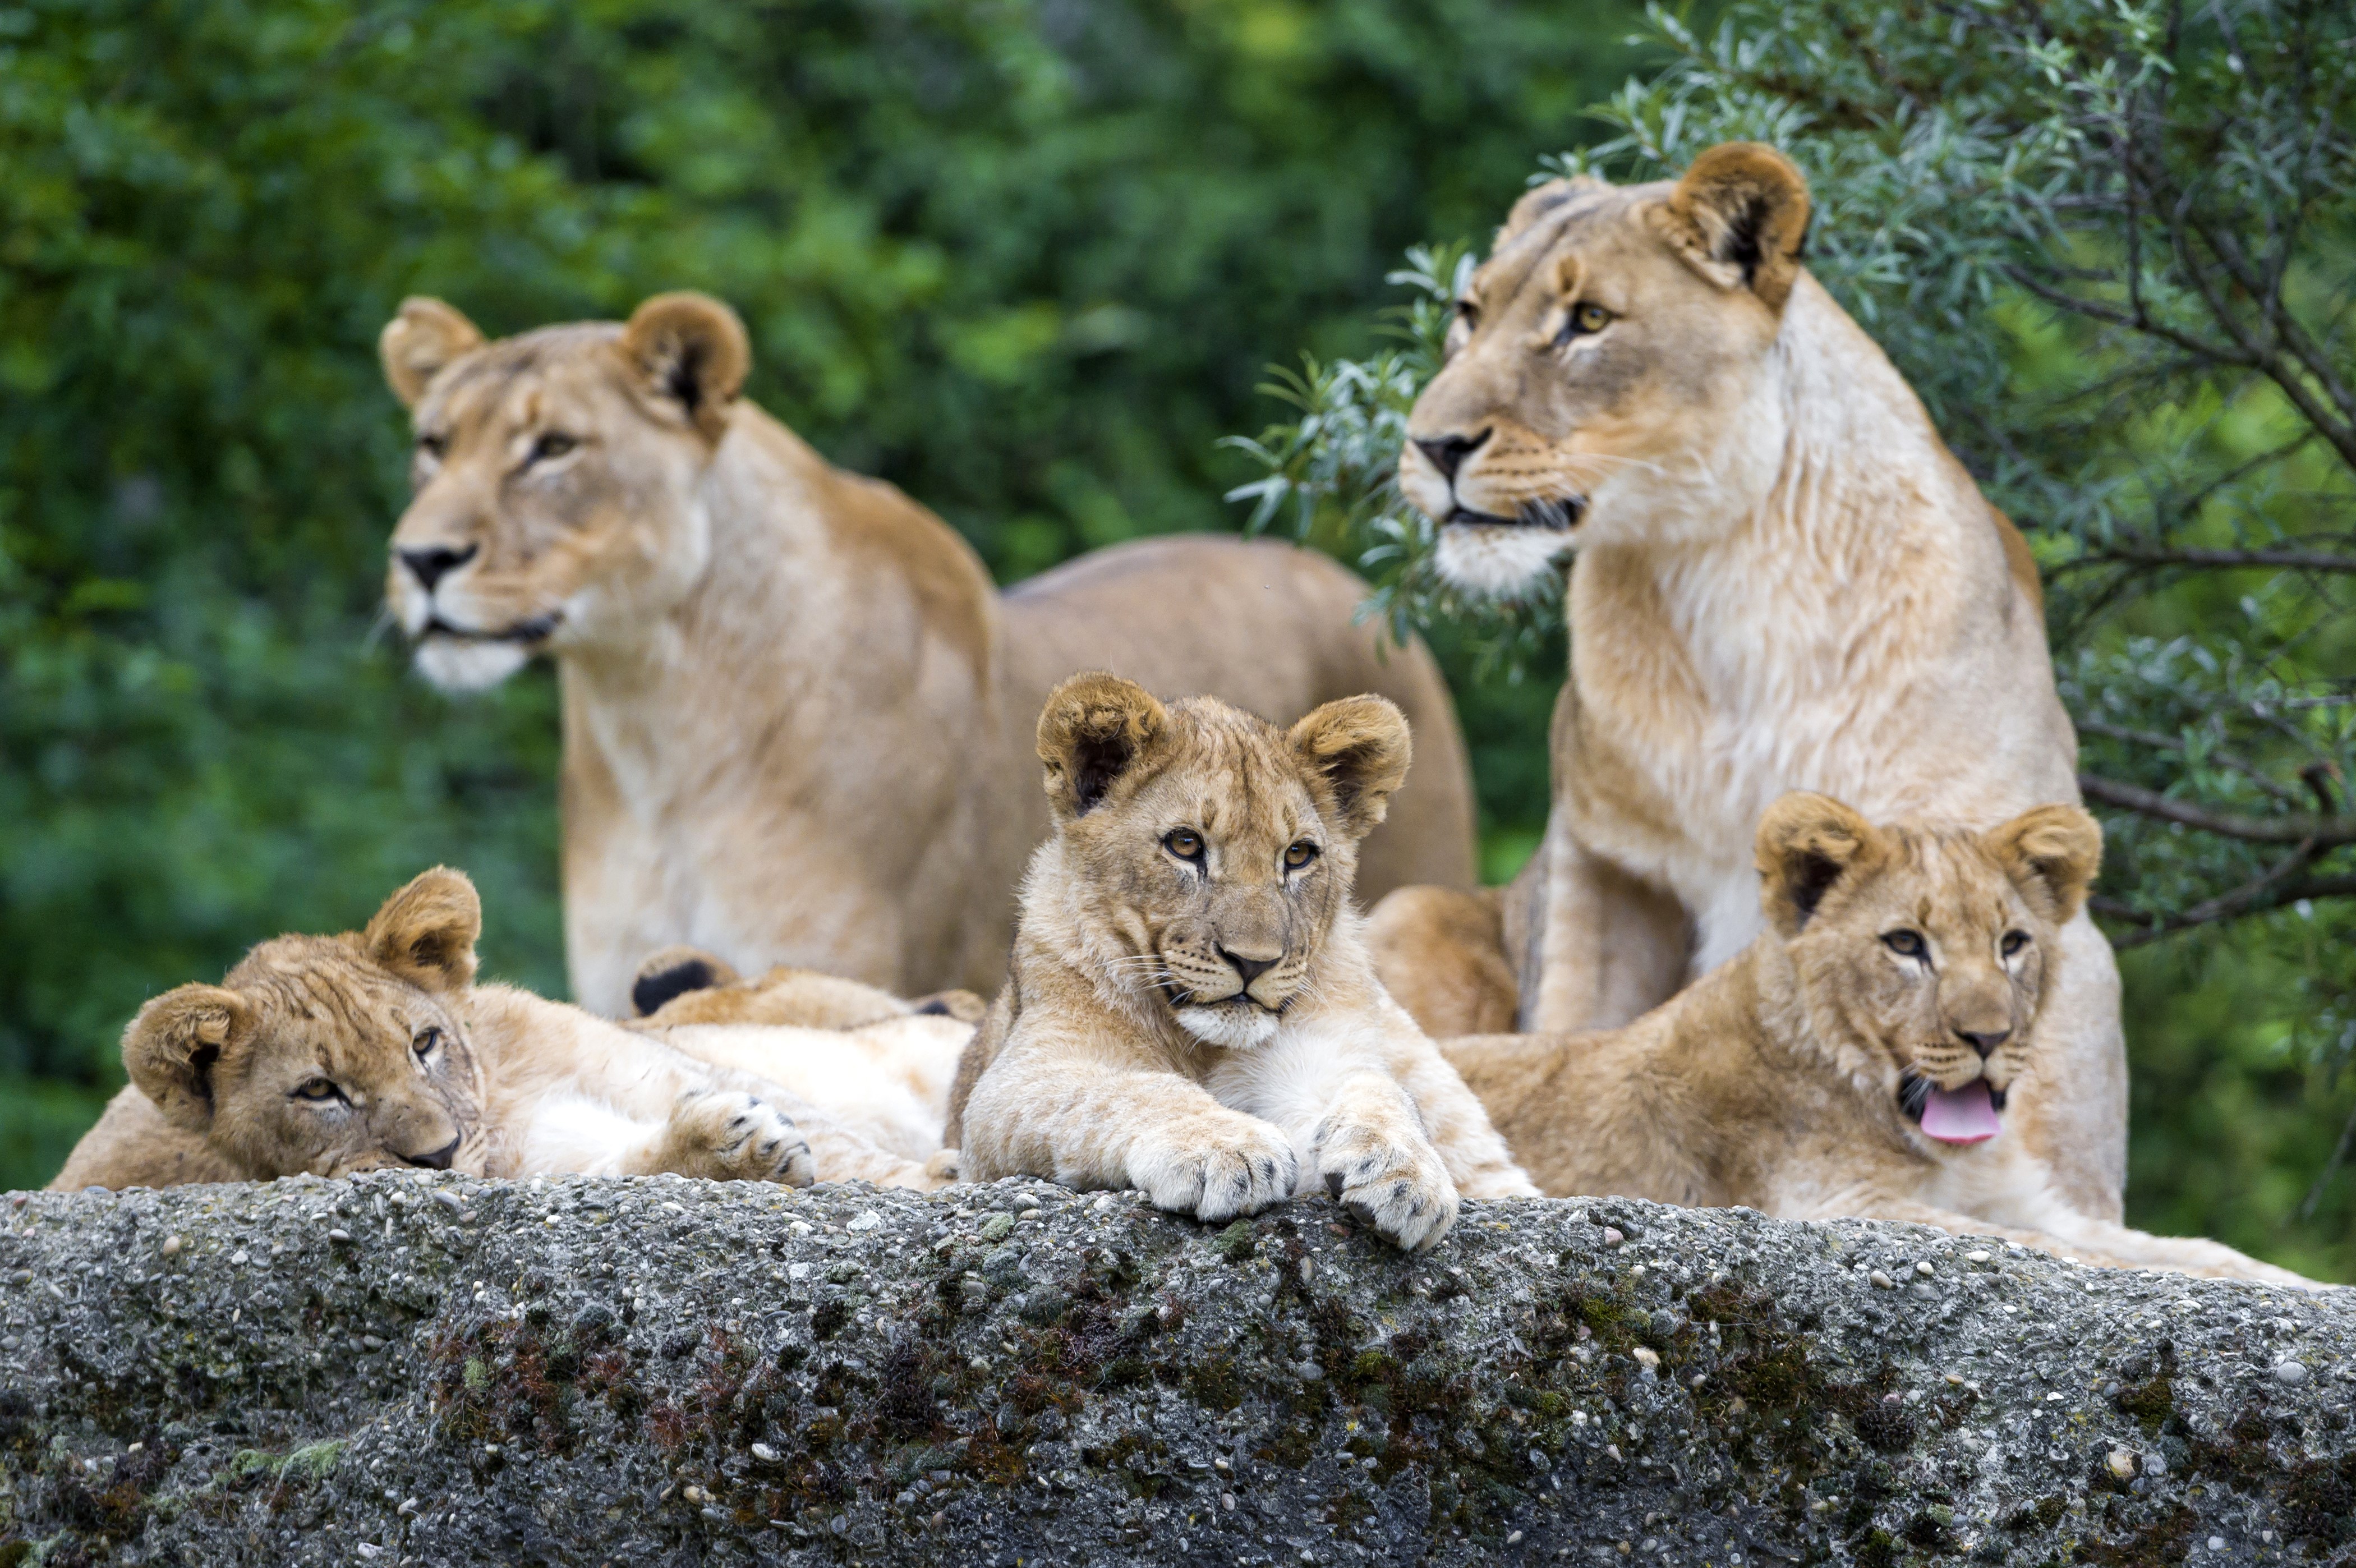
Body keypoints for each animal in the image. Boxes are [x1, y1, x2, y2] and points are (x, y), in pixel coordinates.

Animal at [48, 869, 966, 1193]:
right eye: (319, 1090)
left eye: (423, 1042)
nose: (440, 1156)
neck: (509, 1094)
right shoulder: (553, 1161)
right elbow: (632, 1161)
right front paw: (734, 1148)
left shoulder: (659, 1068)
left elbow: (850, 1150)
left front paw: (937, 1177)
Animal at [946, 674, 1535, 1251]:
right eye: (1186, 844)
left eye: (1298, 855)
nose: (1254, 963)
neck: (1203, 1046)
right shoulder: (1009, 1090)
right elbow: (1125, 1090)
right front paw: (1225, 1150)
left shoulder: (1322, 1059)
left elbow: (1379, 1088)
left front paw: (1402, 1171)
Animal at [1365, 142, 2128, 1222]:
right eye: (1470, 314)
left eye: (1588, 320)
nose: (1430, 447)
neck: (1722, 575)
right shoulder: (1611, 871)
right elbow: (1576, 1030)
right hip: (1414, 908)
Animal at [1443, 794, 2312, 1284]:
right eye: (1904, 944)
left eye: (2012, 943)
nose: (1989, 1035)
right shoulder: (1834, 1206)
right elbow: (2042, 1247)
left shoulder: (2020, 1196)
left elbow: (2194, 1248)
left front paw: (2298, 1285)